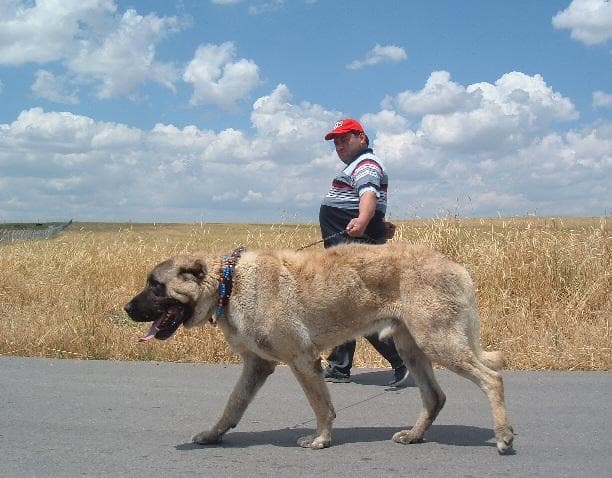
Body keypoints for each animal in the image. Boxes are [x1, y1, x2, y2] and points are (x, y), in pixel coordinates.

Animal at [125, 243, 516, 452]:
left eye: (156, 285)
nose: (127, 309)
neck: (229, 283)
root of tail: (457, 267)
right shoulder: (257, 365)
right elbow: (232, 406)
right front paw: (212, 435)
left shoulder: (302, 360)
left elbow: (320, 406)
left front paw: (321, 439)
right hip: (414, 349)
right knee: (435, 397)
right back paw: (415, 435)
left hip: (440, 343)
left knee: (492, 379)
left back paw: (503, 437)